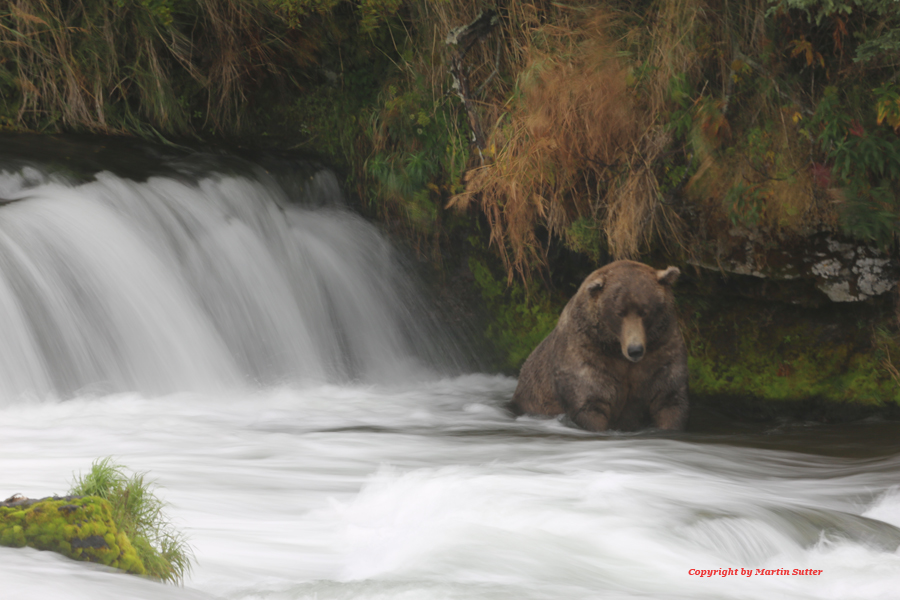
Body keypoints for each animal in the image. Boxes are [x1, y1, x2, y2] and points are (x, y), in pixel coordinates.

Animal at [512, 258, 688, 432]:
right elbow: (591, 402)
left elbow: (668, 400)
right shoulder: (589, 356)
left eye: (644, 311)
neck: (617, 349)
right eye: (619, 313)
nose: (635, 350)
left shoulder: (661, 351)